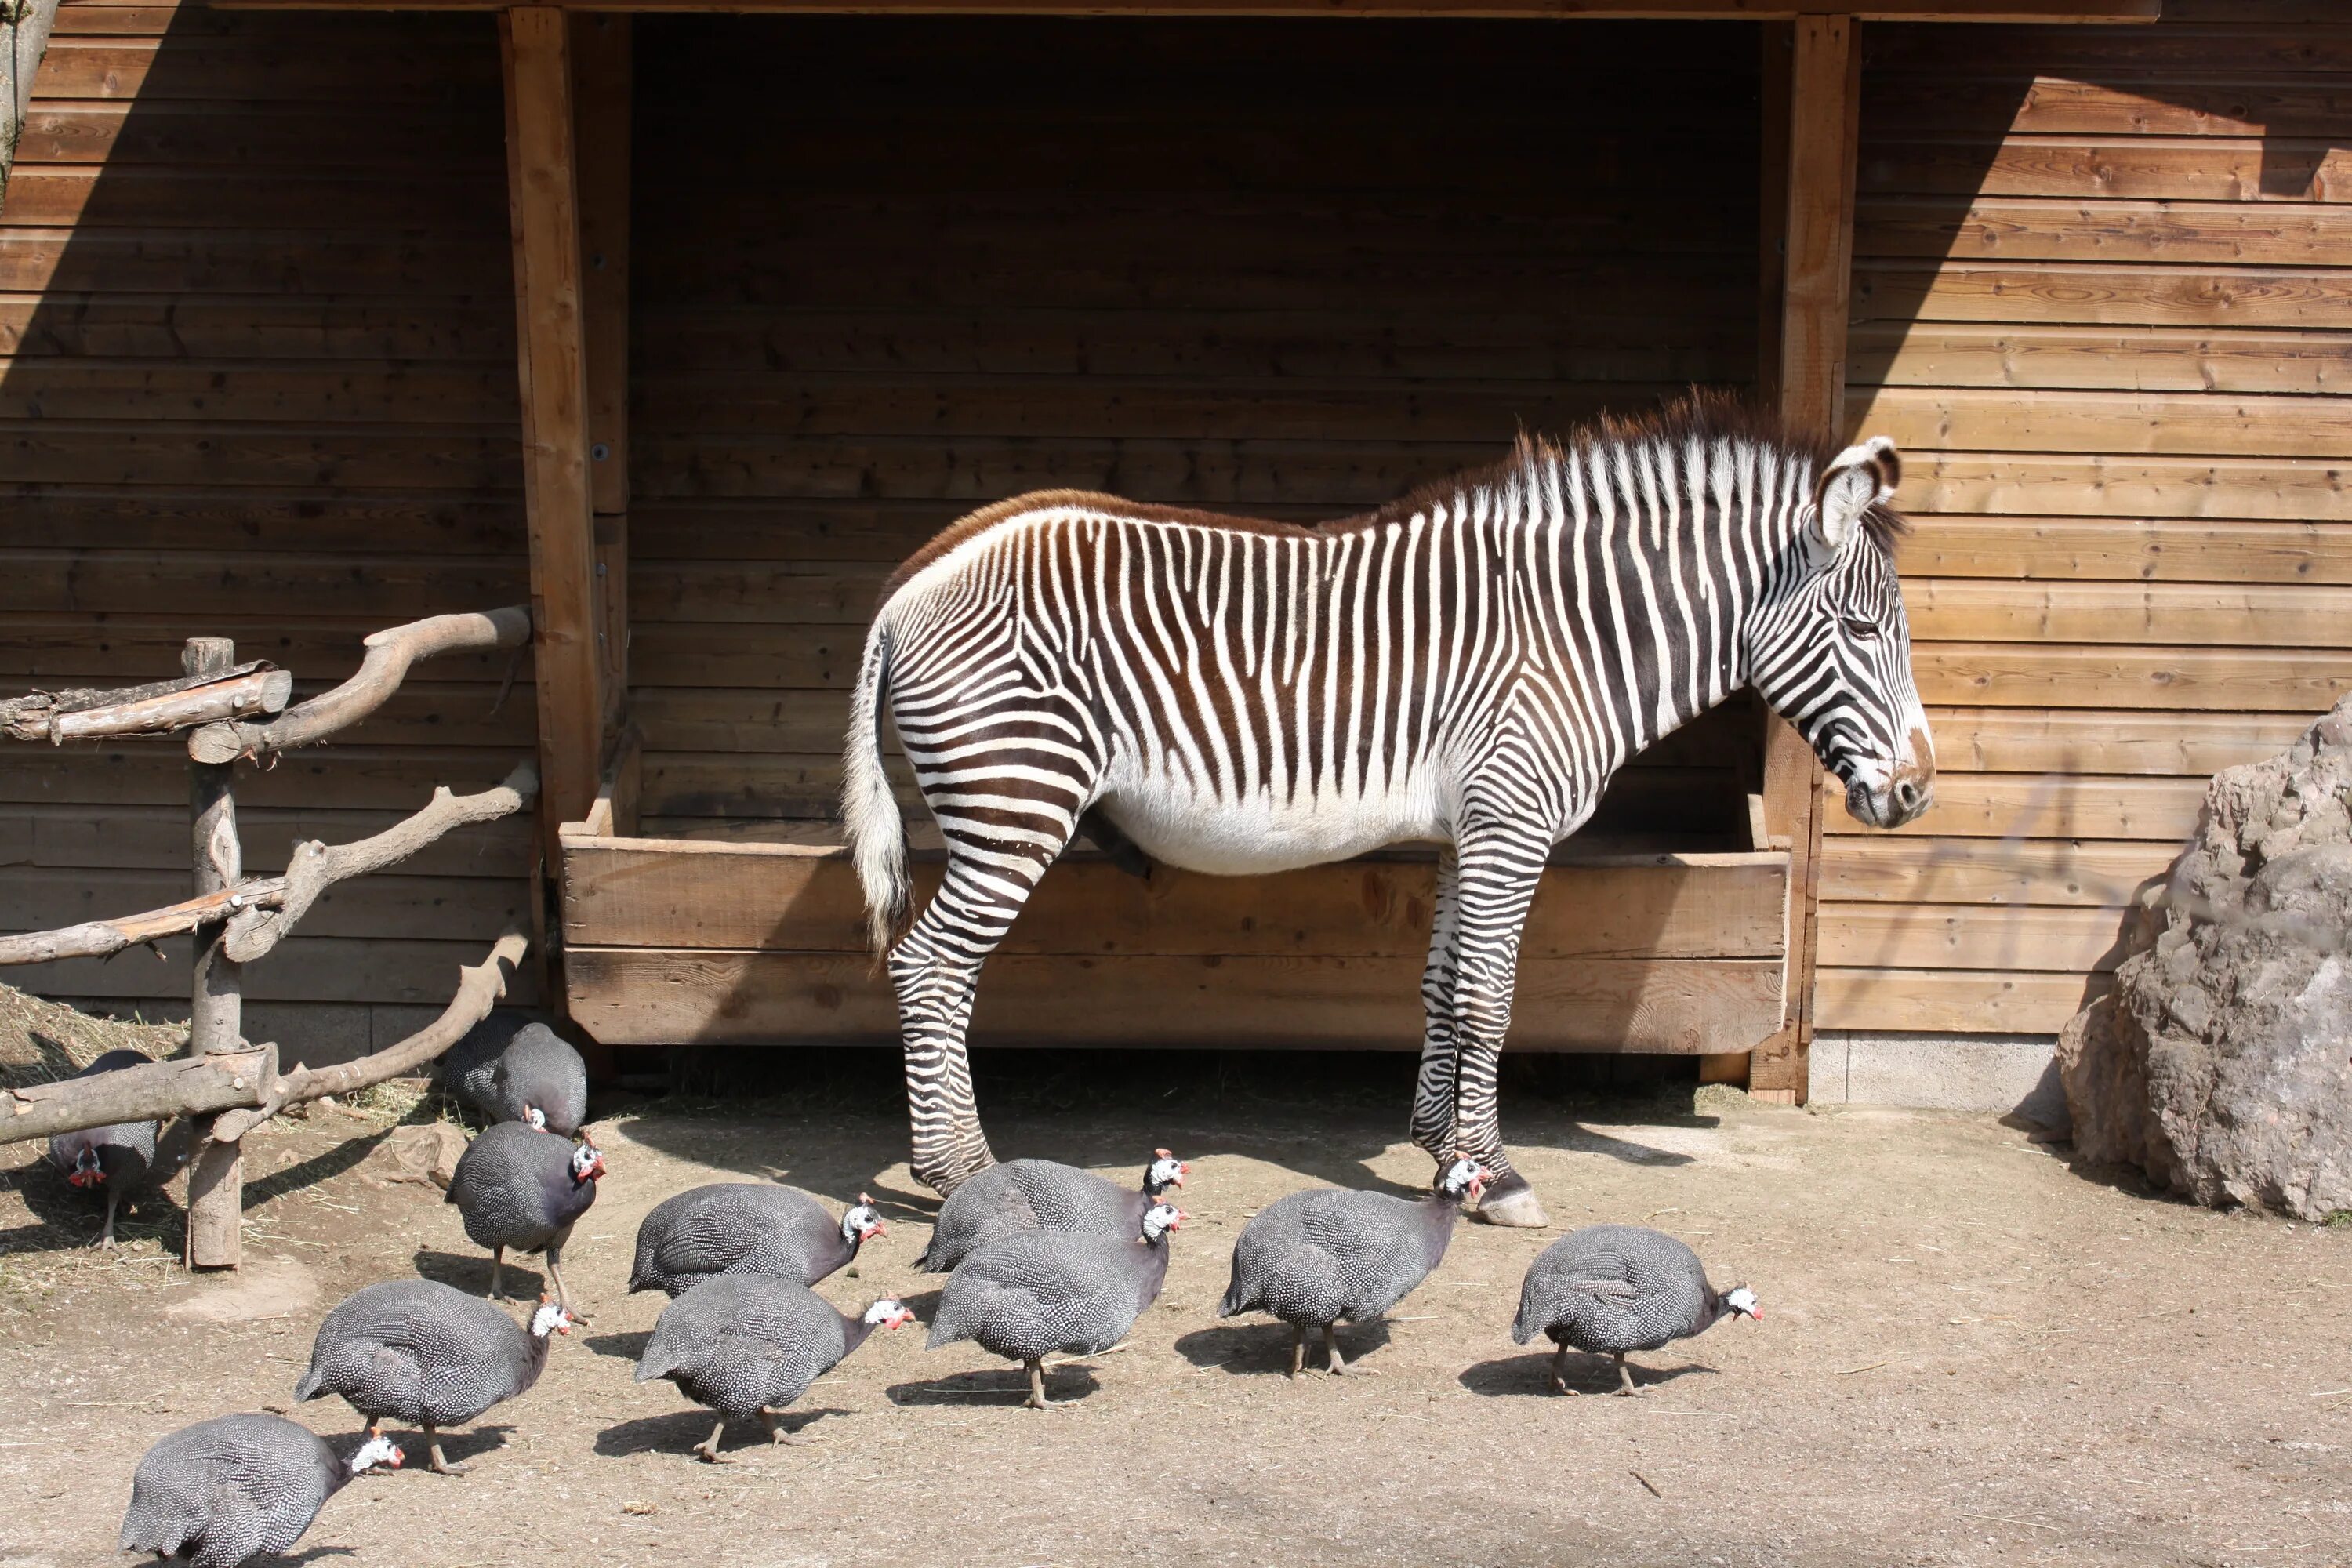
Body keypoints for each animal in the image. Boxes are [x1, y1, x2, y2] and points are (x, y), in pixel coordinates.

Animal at [842, 394, 1929, 1222]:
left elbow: (1443, 988)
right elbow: (1490, 997)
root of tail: (914, 577)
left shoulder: (1466, 833)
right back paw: (961, 1174)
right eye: (1861, 626)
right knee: (931, 967)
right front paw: (1498, 1174)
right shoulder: (1510, 823)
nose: (1917, 792)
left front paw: (1443, 1151)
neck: (1571, 634)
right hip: (1014, 800)